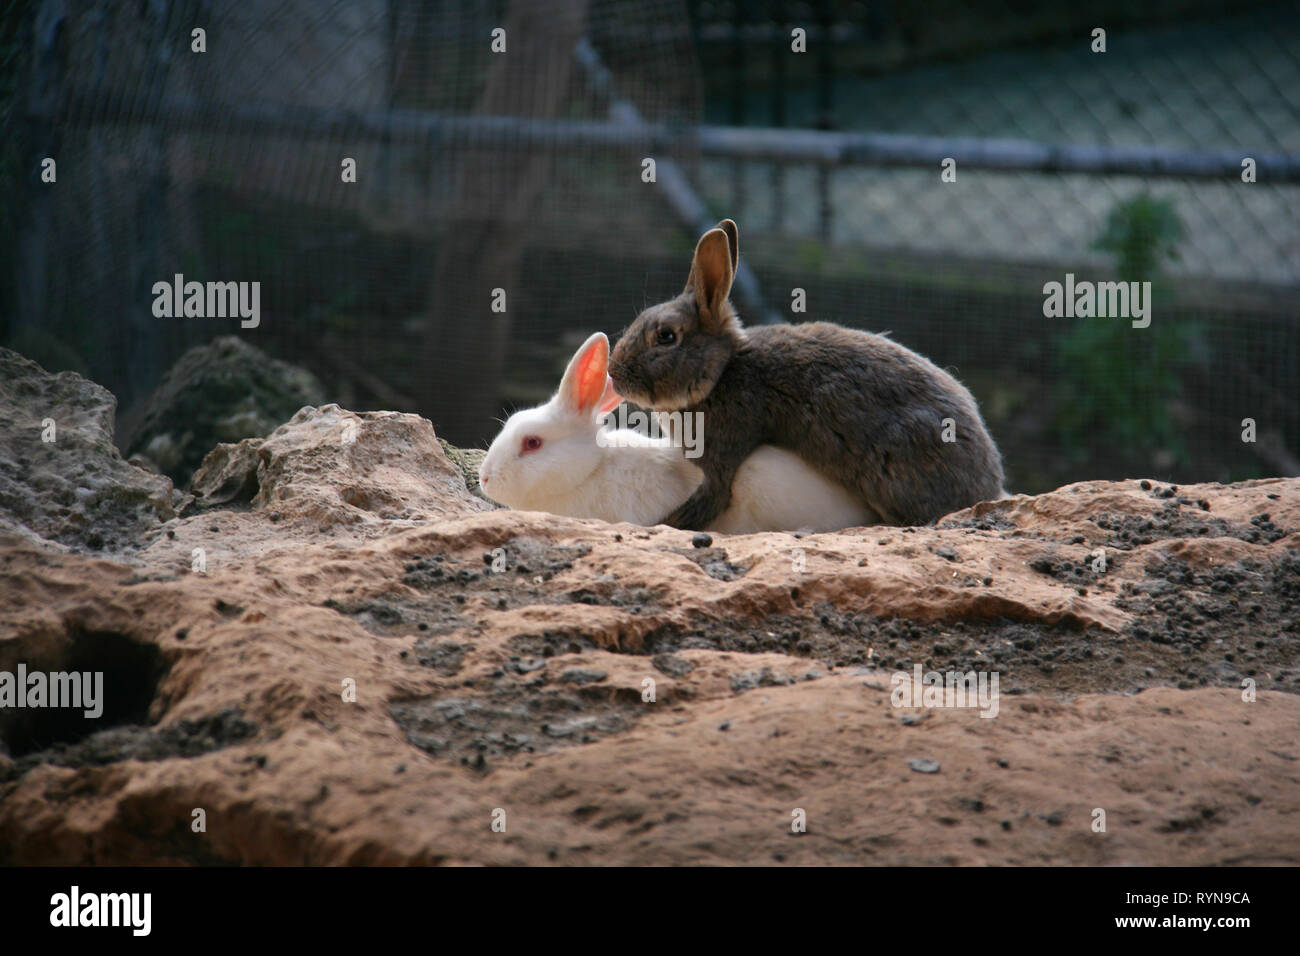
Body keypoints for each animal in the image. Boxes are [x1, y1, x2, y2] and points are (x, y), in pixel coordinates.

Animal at [607, 218, 1006, 530]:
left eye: (666, 336)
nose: (613, 373)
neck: (721, 373)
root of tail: (989, 483)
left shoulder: (721, 453)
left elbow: (709, 499)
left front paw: (662, 524)